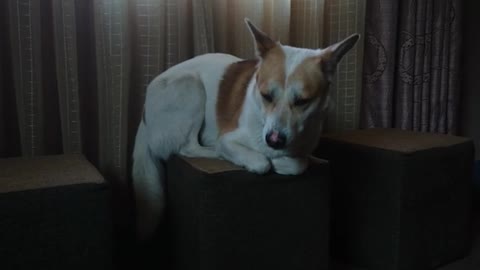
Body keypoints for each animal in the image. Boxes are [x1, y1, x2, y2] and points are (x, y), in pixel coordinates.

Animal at [132, 17, 360, 239]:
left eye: (302, 101)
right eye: (266, 95)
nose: (274, 141)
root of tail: (144, 112)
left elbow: (299, 163)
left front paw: (284, 160)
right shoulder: (229, 139)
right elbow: (263, 162)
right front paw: (271, 161)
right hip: (191, 86)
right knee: (188, 147)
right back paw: (216, 152)